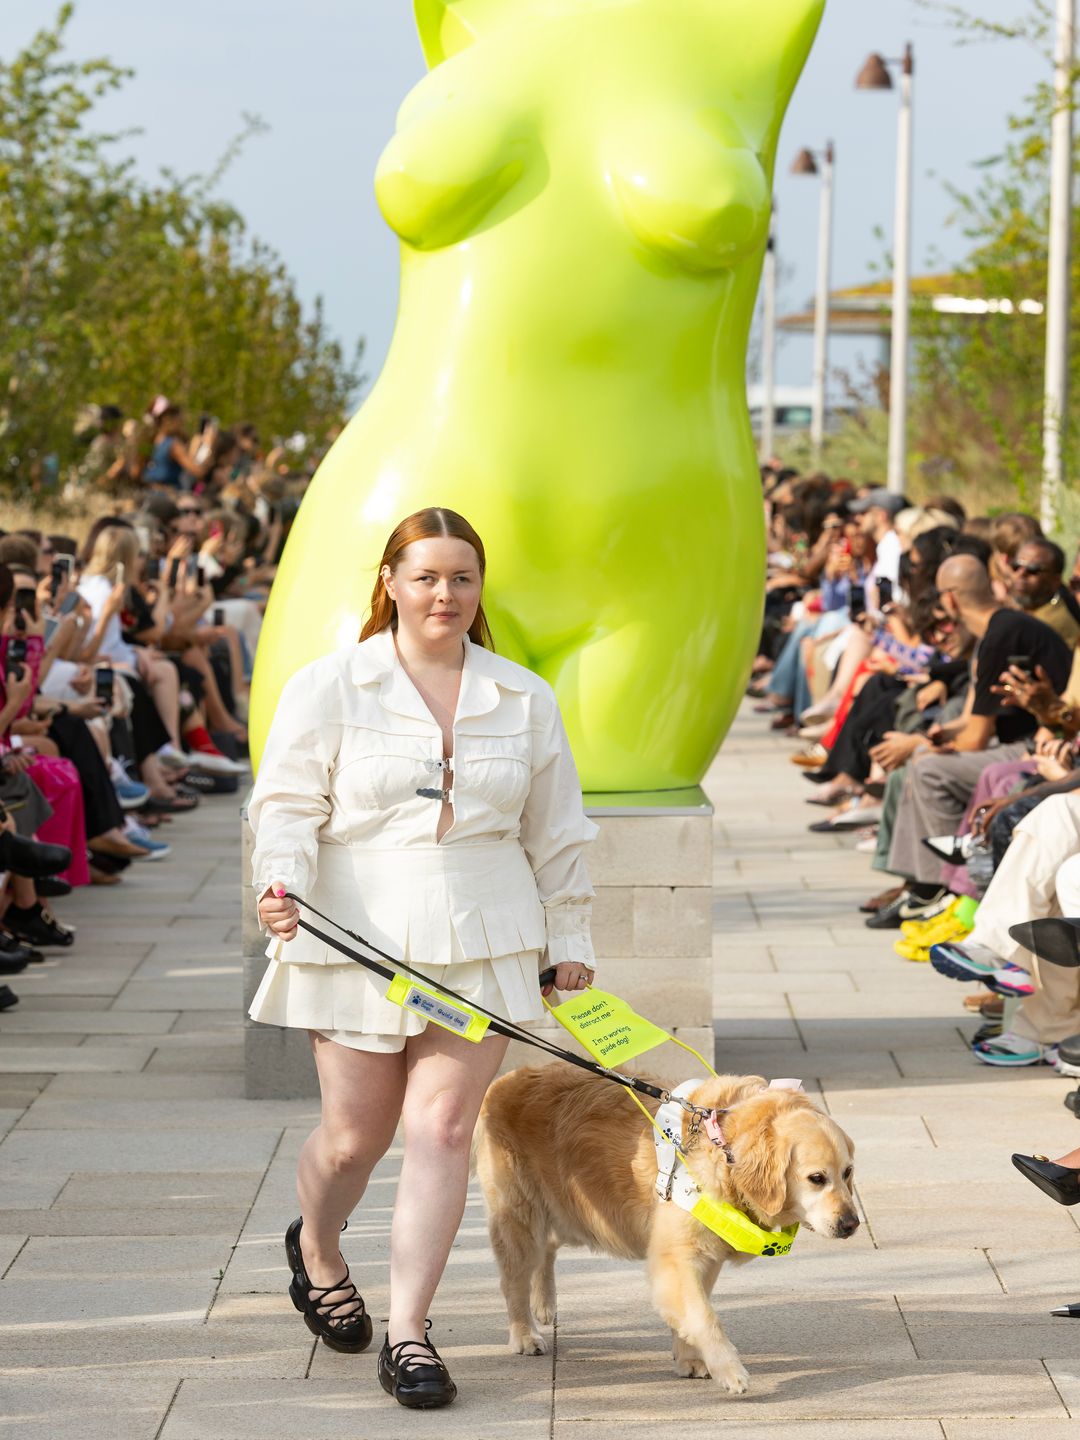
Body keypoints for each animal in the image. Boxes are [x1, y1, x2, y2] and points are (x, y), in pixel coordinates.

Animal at [478, 1071, 858, 1393]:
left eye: (848, 1173)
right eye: (816, 1178)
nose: (852, 1224)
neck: (724, 1148)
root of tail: (505, 1079)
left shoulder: (705, 1258)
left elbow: (691, 1314)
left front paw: (688, 1358)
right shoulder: (676, 1256)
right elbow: (704, 1317)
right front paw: (729, 1369)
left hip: (567, 1211)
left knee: (549, 1249)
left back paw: (544, 1303)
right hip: (521, 1217)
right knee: (514, 1280)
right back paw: (525, 1333)